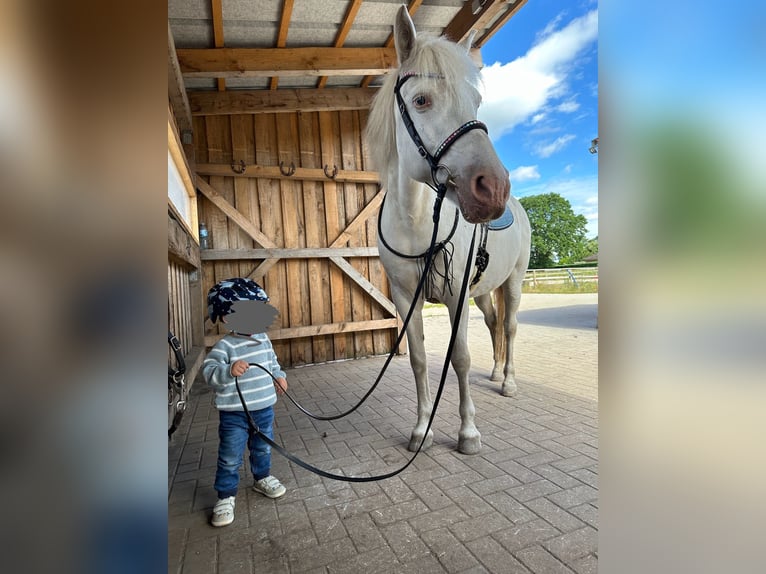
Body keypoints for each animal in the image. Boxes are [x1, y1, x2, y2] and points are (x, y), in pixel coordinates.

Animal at [364, 3, 532, 454]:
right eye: (421, 100)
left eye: (476, 101)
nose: (494, 188)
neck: (417, 224)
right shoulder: (407, 298)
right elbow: (421, 358)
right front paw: (422, 427)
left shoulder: (456, 297)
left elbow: (460, 358)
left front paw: (468, 432)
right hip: (484, 290)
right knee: (495, 323)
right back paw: (496, 373)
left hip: (514, 280)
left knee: (510, 325)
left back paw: (508, 382)